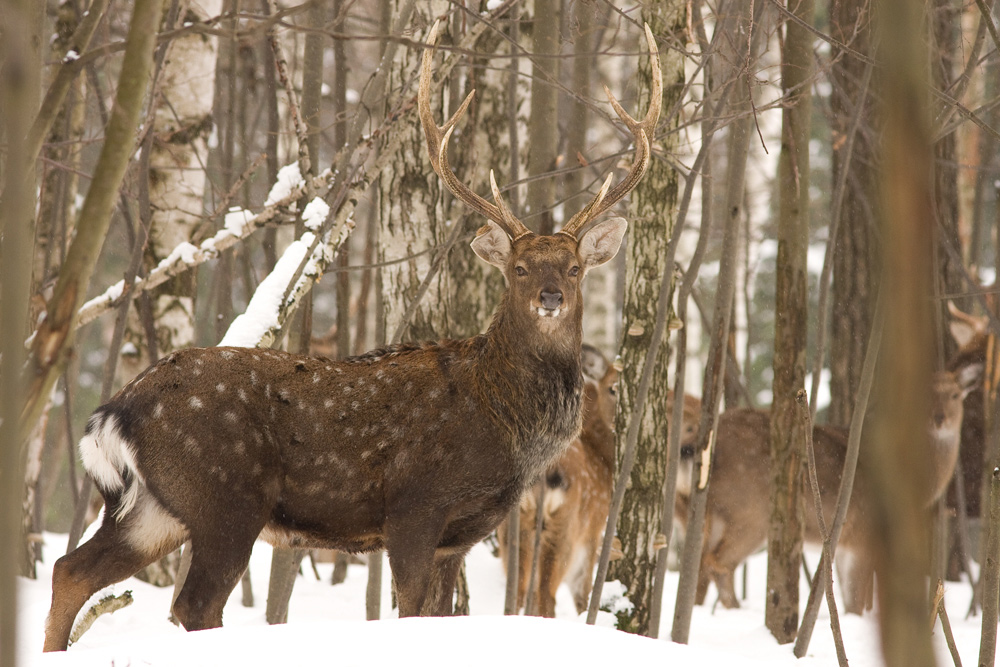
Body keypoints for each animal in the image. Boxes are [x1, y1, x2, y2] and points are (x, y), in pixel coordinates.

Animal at [43, 22, 660, 652]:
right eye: (519, 267)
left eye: (575, 267)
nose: (550, 297)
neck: (503, 419)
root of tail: (114, 411)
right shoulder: (413, 506)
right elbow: (410, 613)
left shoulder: (458, 537)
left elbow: (440, 616)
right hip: (224, 497)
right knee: (191, 603)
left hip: (155, 506)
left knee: (72, 570)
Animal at [676, 360, 980, 616]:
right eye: (921, 396)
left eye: (955, 395)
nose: (939, 418)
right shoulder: (862, 534)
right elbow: (855, 602)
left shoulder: (847, 543)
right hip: (750, 512)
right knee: (718, 564)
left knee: (698, 565)